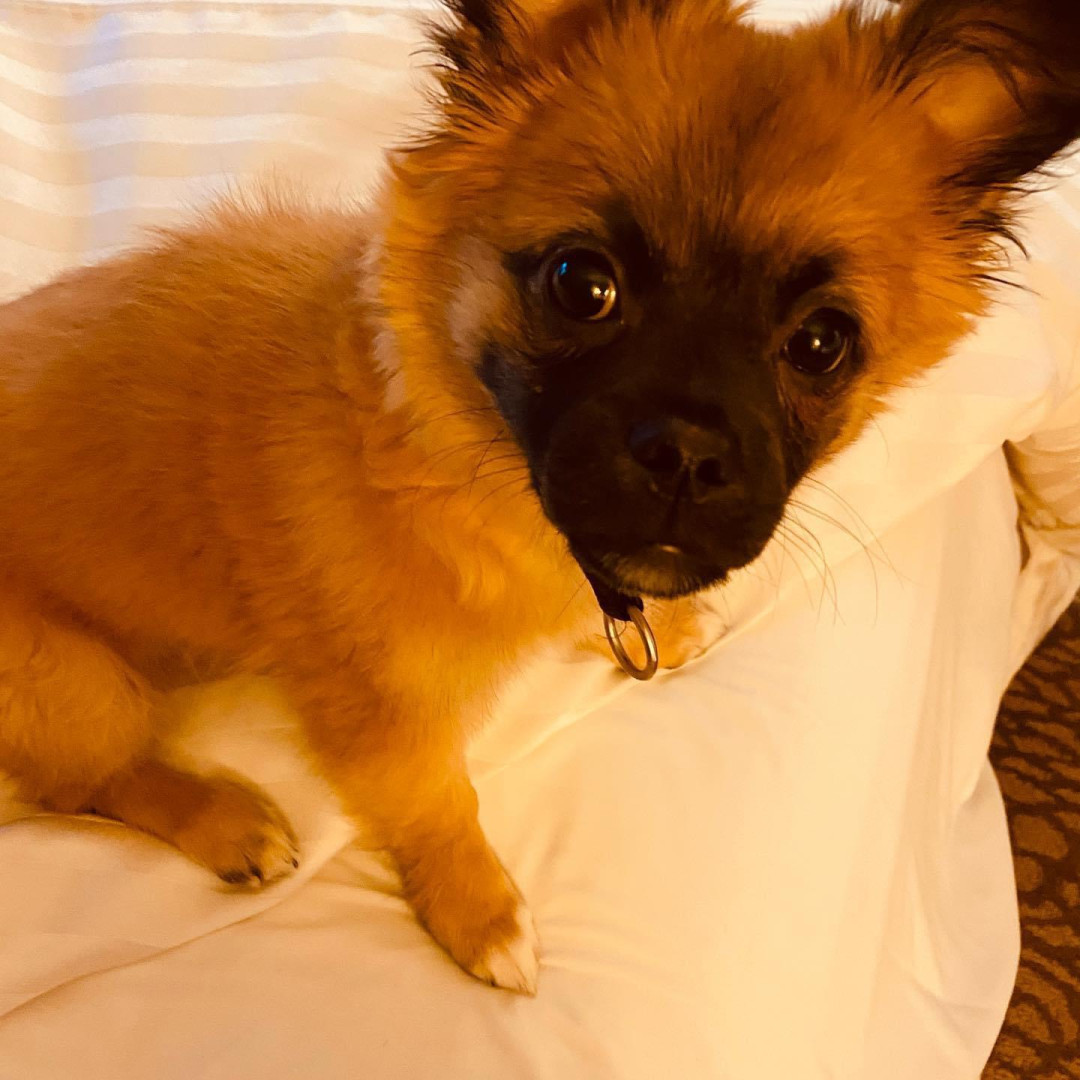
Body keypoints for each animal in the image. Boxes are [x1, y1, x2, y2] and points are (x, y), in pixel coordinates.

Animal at [0, 0, 1078, 994]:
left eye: (822, 343)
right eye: (580, 282)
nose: (688, 455)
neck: (444, 449)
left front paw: (669, 627)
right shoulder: (386, 717)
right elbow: (440, 804)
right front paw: (481, 915)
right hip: (80, 682)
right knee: (82, 783)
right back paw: (223, 821)